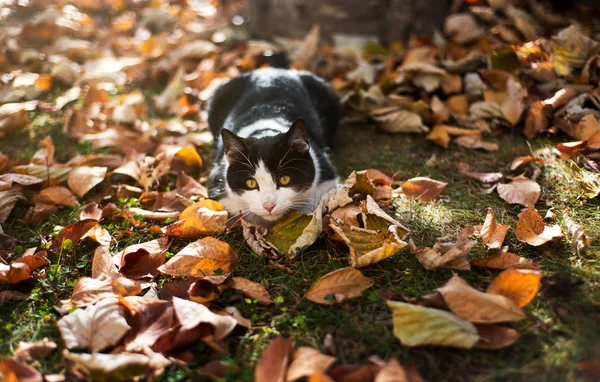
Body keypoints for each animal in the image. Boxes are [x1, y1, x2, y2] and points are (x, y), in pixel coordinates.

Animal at [206, 67, 340, 225]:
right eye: (251, 183)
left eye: (284, 179)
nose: (269, 205)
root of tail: (271, 69)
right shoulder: (218, 185)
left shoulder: (326, 173)